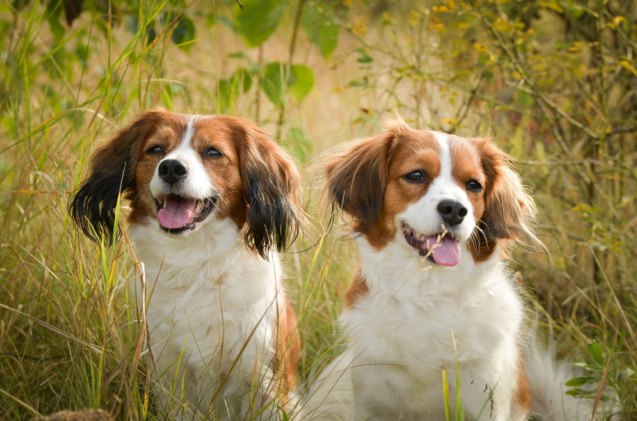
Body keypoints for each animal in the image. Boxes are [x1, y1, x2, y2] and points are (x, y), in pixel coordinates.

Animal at [71, 110, 304, 418]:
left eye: (213, 152)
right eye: (156, 149)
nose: (171, 168)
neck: (194, 261)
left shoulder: (265, 379)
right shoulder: (169, 373)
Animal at [306, 120, 600, 418]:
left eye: (474, 185)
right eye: (416, 175)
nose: (455, 210)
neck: (429, 293)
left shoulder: (485, 400)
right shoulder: (372, 401)